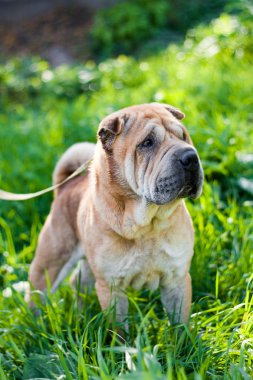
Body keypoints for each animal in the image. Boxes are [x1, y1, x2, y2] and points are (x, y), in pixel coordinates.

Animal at [28, 102, 205, 326]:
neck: (147, 225)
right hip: (51, 262)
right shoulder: (111, 286)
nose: (190, 157)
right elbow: (119, 328)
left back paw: (81, 314)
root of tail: (66, 185)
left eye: (183, 136)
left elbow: (180, 323)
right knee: (37, 294)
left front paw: (183, 337)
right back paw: (36, 325)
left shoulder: (176, 278)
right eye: (148, 143)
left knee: (78, 282)